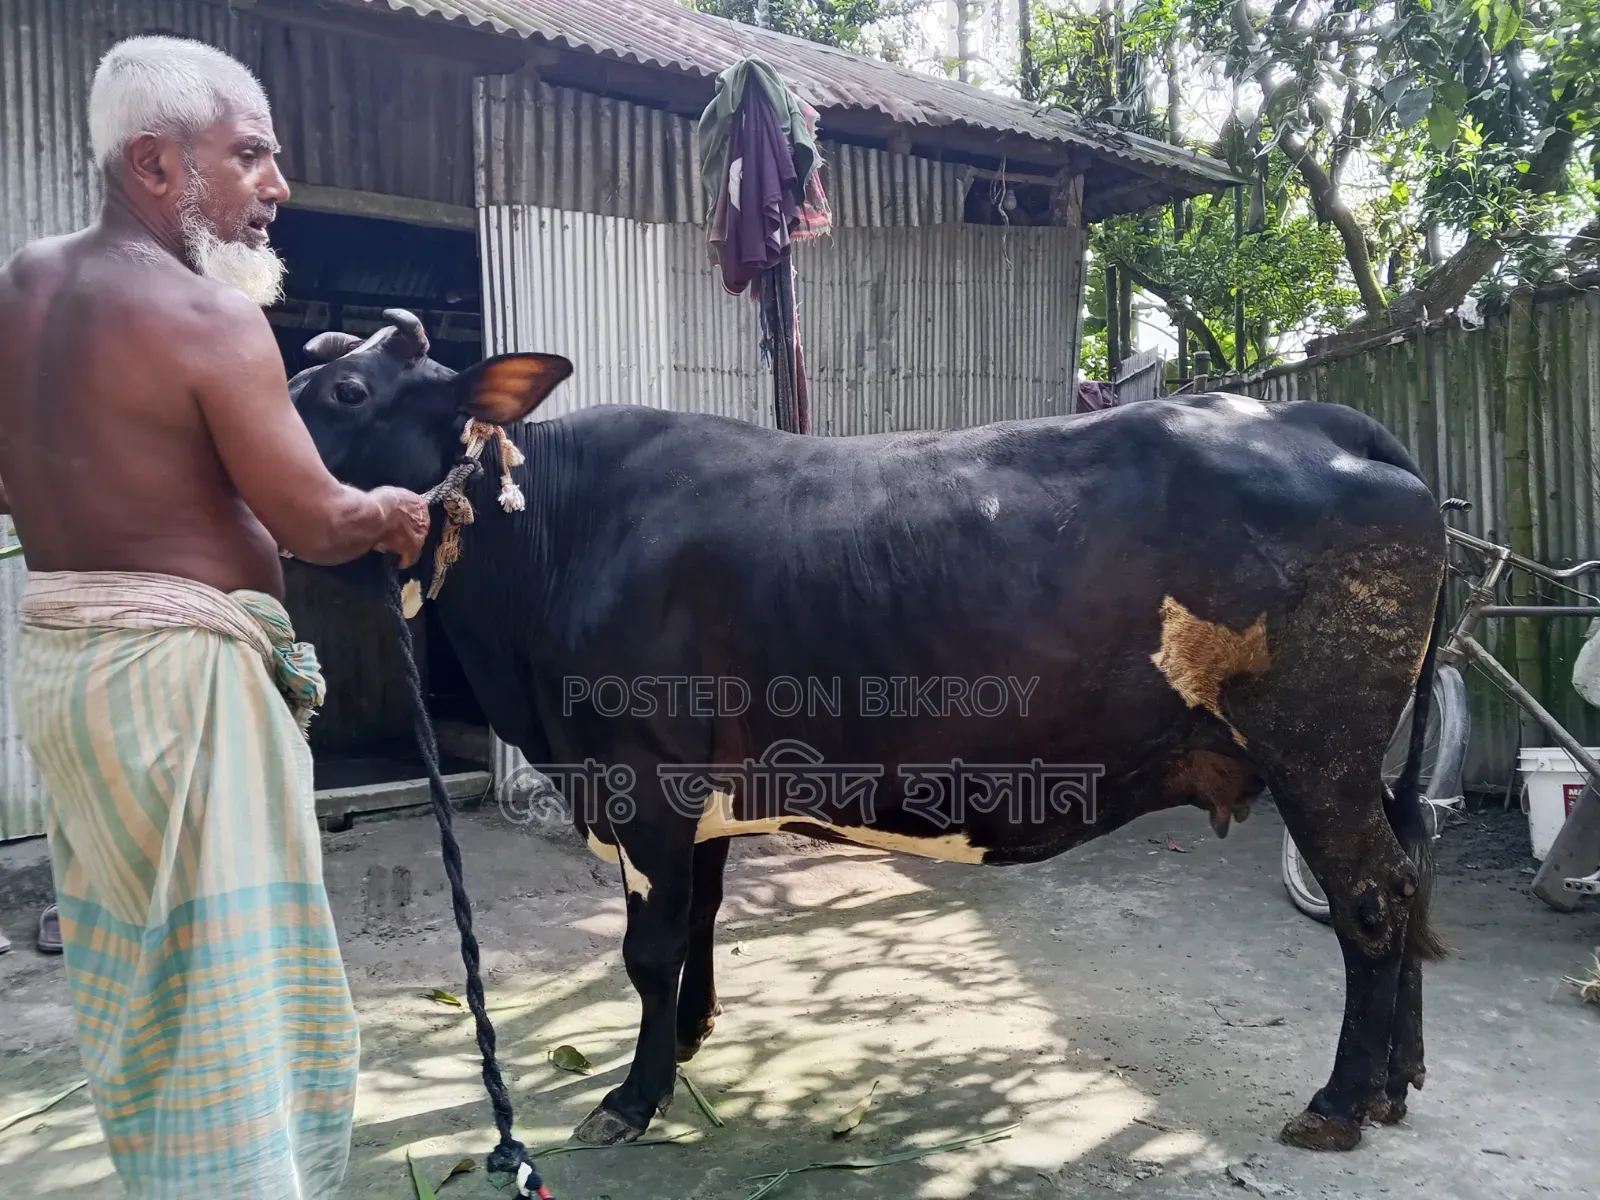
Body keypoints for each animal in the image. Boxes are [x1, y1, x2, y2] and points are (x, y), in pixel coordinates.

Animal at [289, 311, 1449, 1155]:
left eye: (346, 393)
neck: (555, 538)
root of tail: (1313, 421)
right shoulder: (701, 792)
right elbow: (700, 917)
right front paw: (692, 1037)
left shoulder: (642, 776)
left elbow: (648, 944)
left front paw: (633, 1095)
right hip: (1358, 765)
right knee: (1412, 870)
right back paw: (1395, 1085)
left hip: (1316, 750)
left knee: (1371, 901)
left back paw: (1339, 1103)